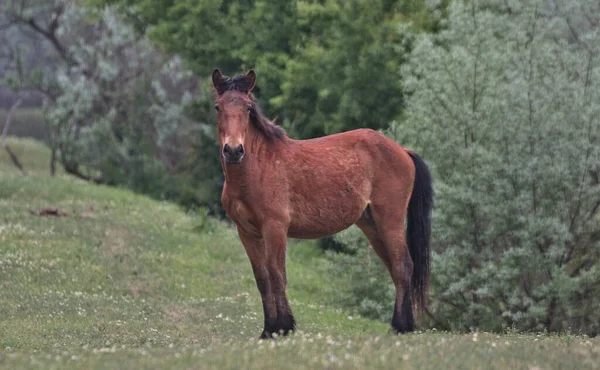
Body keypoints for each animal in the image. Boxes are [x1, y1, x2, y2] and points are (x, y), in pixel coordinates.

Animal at [211, 68, 432, 338]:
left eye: (248, 108)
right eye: (218, 107)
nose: (233, 150)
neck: (257, 169)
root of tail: (403, 151)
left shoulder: (275, 228)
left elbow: (277, 274)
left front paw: (283, 326)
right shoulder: (247, 232)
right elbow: (262, 278)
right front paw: (268, 330)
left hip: (390, 220)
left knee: (403, 266)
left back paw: (401, 327)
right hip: (372, 225)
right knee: (396, 269)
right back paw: (403, 325)